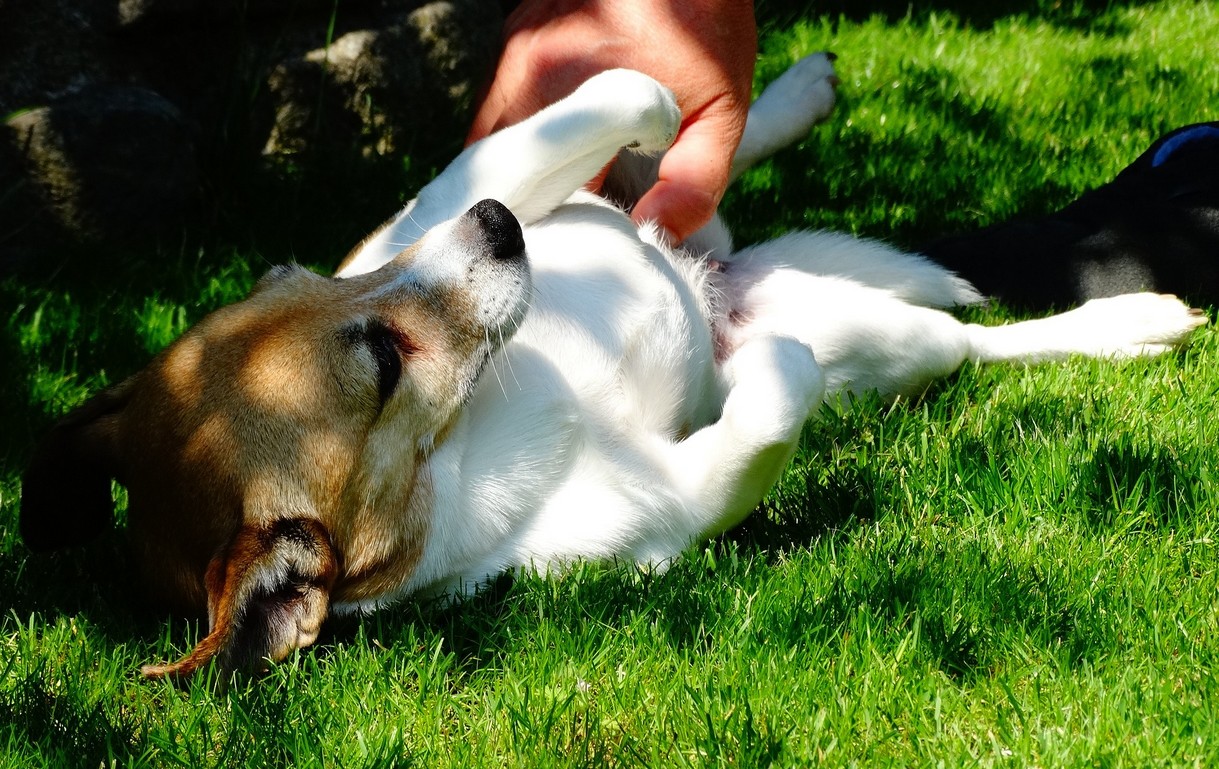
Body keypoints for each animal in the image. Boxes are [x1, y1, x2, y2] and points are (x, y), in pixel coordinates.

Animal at [19, 54, 1209, 677]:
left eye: (303, 271)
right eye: (384, 361)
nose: (502, 227)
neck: (476, 429)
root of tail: (731, 278)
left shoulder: (453, 192)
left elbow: (618, 88)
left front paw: (665, 116)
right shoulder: (662, 511)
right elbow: (760, 425)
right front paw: (766, 374)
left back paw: (784, 99)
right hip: (885, 341)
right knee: (974, 341)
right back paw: (1133, 320)